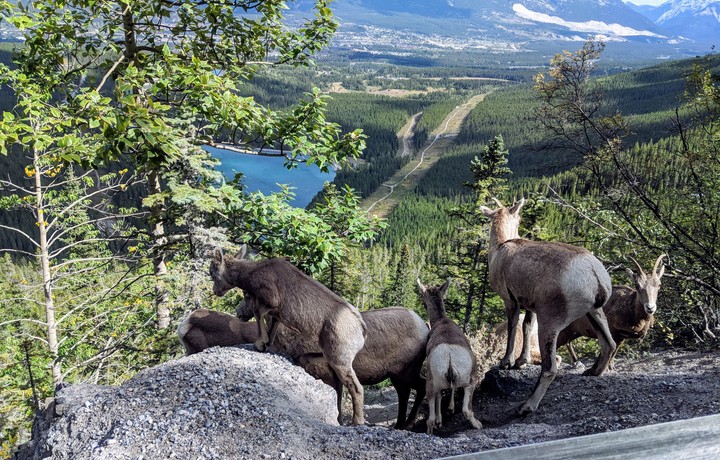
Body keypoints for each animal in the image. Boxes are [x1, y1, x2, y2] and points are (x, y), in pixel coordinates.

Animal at [209, 246, 367, 425]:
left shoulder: (270, 300)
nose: (216, 291)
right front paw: (266, 344)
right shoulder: (277, 313)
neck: (251, 273)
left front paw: (260, 344)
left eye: (212, 273)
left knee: (356, 388)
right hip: (330, 353)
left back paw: (357, 422)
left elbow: (258, 313)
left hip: (340, 359)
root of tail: (361, 330)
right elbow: (271, 325)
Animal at [238, 296, 429, 429]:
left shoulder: (327, 374)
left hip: (404, 372)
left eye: (248, 297)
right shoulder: (335, 378)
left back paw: (408, 424)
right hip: (397, 376)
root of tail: (425, 328)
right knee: (406, 394)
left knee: (421, 387)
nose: (238, 311)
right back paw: (398, 425)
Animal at [416, 278, 482, 435]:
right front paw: (450, 409)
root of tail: (449, 360)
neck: (442, 321)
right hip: (470, 381)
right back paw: (478, 424)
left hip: (432, 384)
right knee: (466, 409)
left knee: (431, 418)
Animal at [480, 198, 616, 414]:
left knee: (550, 368)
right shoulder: (530, 306)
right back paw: (591, 372)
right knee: (609, 343)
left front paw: (506, 362)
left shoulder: (510, 301)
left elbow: (513, 327)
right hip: (594, 312)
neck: (500, 249)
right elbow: (526, 327)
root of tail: (594, 274)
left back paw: (526, 407)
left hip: (550, 324)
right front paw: (521, 362)